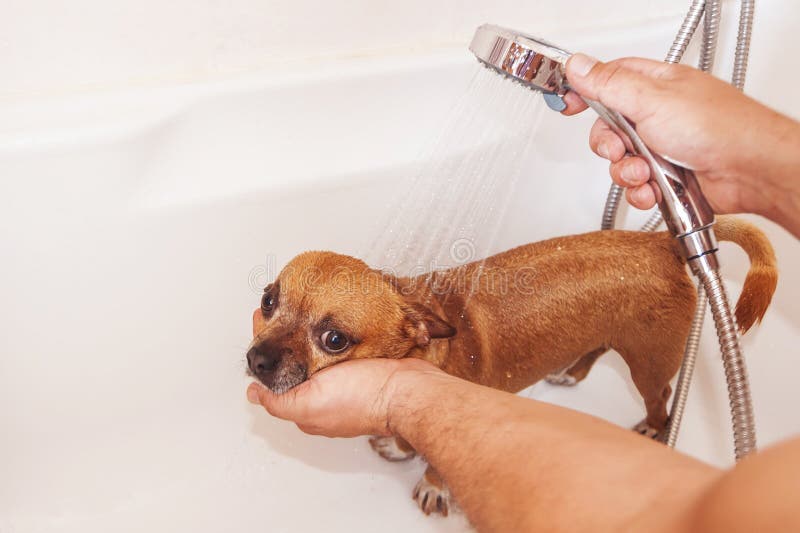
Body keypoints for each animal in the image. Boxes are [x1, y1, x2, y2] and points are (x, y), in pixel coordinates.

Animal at [248, 216, 776, 516]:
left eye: (334, 339)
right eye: (268, 300)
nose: (257, 359)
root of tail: (666, 244)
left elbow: (436, 461)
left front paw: (434, 487)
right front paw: (399, 446)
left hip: (649, 363)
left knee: (661, 398)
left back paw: (652, 427)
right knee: (595, 353)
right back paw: (569, 373)